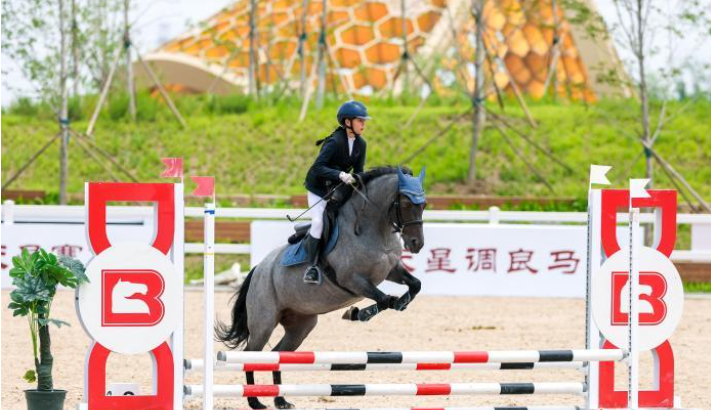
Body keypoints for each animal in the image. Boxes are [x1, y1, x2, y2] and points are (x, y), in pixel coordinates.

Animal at [216, 166, 427, 409]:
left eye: (424, 204)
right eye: (406, 204)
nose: (416, 244)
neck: (373, 228)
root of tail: (258, 268)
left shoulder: (390, 270)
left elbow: (414, 285)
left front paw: (397, 303)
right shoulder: (353, 280)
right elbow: (383, 299)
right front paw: (358, 313)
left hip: (301, 326)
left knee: (277, 353)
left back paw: (280, 400)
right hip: (264, 322)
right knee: (251, 354)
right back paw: (255, 401)